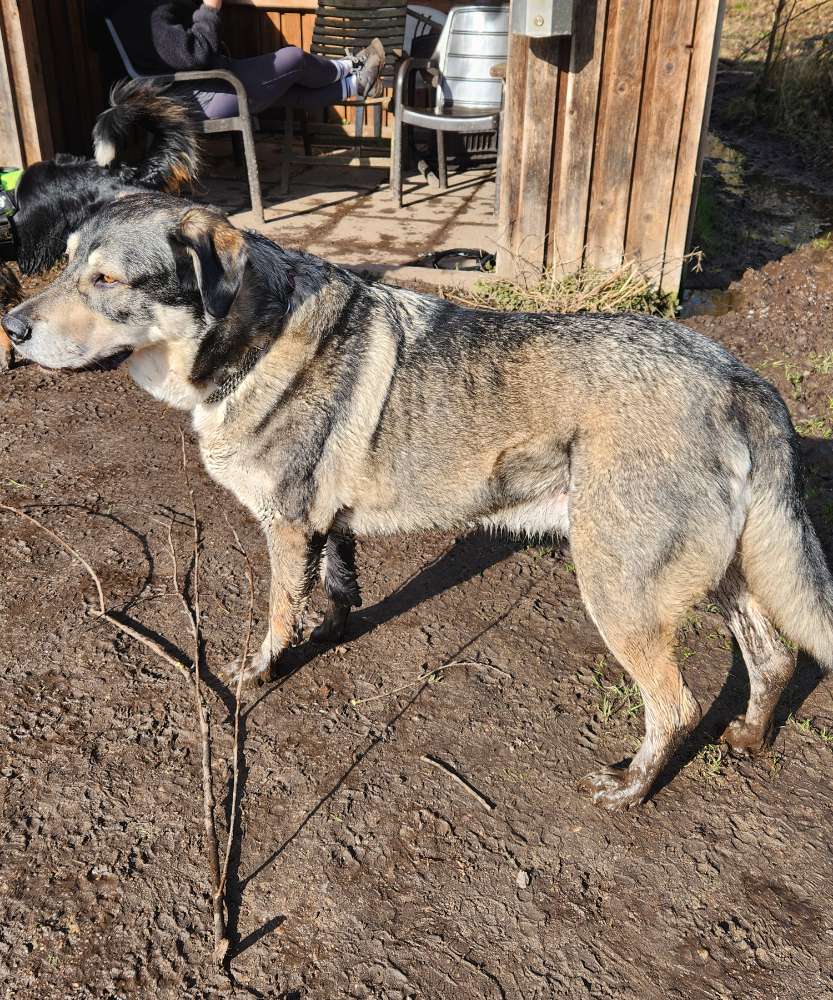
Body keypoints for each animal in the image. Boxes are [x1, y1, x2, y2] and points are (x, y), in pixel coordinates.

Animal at [6, 195, 832, 812]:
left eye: (107, 280)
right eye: (67, 262)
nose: (11, 327)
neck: (254, 336)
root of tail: (741, 378)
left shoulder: (285, 526)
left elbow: (276, 615)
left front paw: (264, 671)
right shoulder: (325, 525)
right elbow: (335, 589)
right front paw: (331, 633)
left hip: (619, 588)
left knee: (677, 705)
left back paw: (631, 788)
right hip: (720, 571)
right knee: (773, 658)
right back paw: (749, 738)